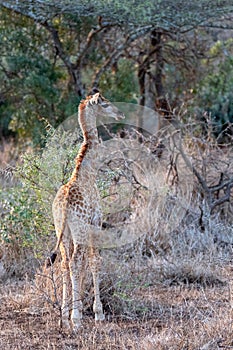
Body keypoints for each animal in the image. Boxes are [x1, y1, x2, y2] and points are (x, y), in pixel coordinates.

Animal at [47, 90, 125, 330]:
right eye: (105, 104)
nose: (121, 114)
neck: (87, 172)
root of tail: (63, 207)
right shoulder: (96, 222)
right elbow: (94, 261)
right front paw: (97, 313)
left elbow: (82, 265)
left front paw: (76, 308)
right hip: (79, 229)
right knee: (74, 262)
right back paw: (76, 319)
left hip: (61, 231)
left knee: (64, 263)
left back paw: (64, 316)